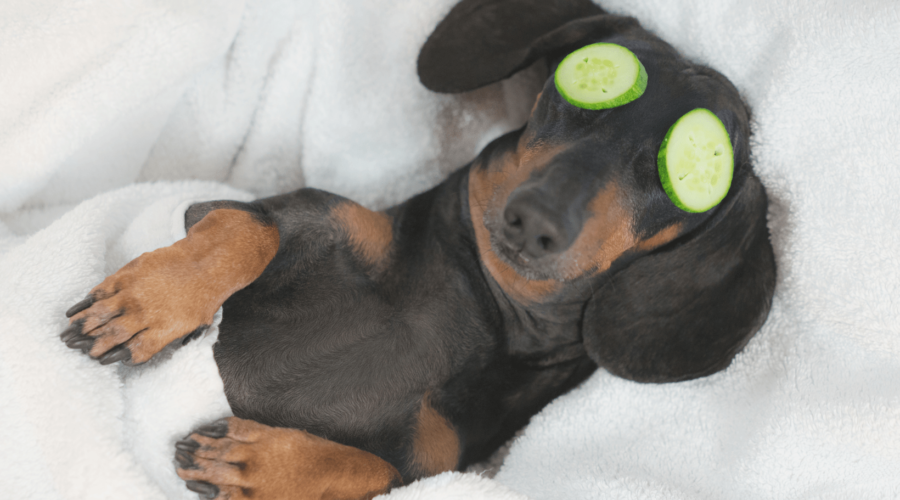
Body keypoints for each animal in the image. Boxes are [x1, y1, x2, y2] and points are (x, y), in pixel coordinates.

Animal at [59, 1, 772, 498]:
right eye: (582, 86)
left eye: (684, 172)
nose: (533, 220)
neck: (485, 308)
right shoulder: (280, 211)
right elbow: (248, 231)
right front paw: (148, 303)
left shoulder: (436, 466)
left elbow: (371, 469)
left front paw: (259, 464)